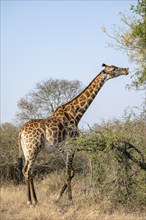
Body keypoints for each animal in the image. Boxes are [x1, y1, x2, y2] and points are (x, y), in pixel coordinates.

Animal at [18, 62, 129, 205]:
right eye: (113, 69)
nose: (126, 70)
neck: (76, 114)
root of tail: (21, 131)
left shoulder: (64, 149)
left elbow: (71, 172)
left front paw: (59, 197)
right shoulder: (71, 146)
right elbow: (68, 172)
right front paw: (69, 199)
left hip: (28, 150)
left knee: (28, 171)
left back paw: (35, 200)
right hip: (33, 149)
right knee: (27, 171)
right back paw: (30, 202)